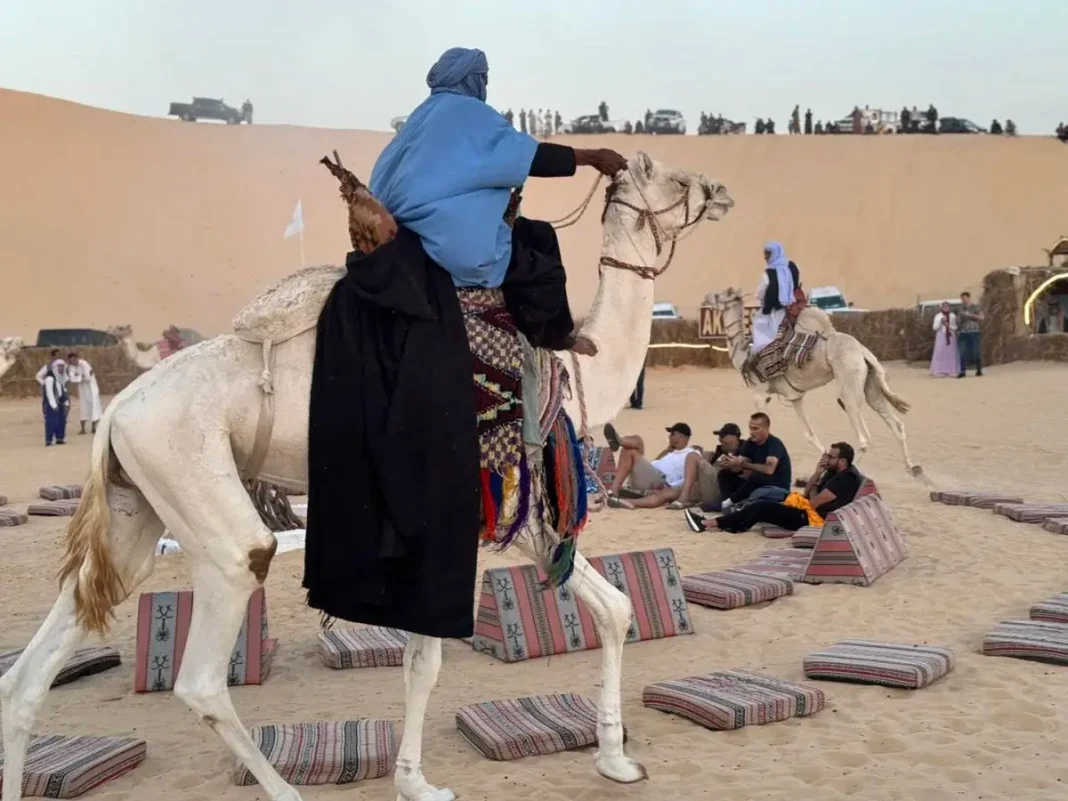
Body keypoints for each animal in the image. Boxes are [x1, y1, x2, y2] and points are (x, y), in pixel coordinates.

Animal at [0, 151, 734, 801]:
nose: (723, 192)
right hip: (200, 492)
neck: (577, 366)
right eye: (677, 180)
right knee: (208, 659)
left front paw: (616, 761)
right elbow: (427, 660)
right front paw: (418, 783)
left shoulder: (513, 518)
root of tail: (120, 409)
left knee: (37, 665)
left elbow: (613, 609)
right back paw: (285, 790)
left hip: (136, 503)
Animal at [709, 288, 918, 474]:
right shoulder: (795, 397)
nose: (707, 297)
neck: (744, 353)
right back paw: (913, 468)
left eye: (721, 295)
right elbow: (809, 434)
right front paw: (823, 458)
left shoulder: (759, 393)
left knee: (863, 437)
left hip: (849, 382)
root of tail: (862, 351)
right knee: (895, 424)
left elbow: (761, 428)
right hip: (871, 381)